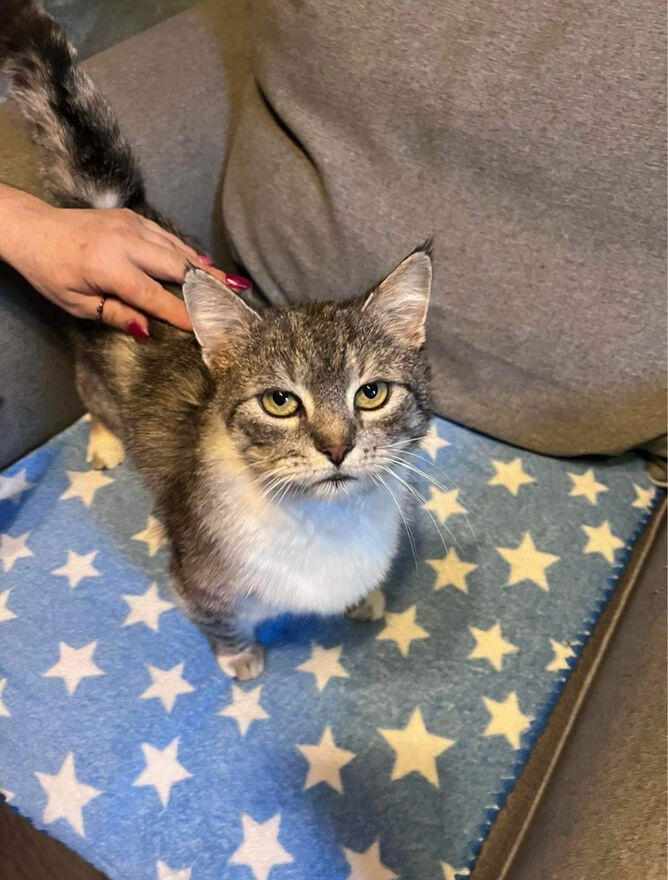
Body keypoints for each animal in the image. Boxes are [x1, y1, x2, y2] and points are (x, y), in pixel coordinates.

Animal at [0, 0, 433, 679]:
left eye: (372, 394)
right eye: (280, 401)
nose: (337, 447)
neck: (324, 523)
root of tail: (117, 210)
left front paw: (364, 600)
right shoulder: (199, 574)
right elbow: (221, 618)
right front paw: (241, 659)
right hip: (95, 366)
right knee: (94, 399)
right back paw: (104, 441)